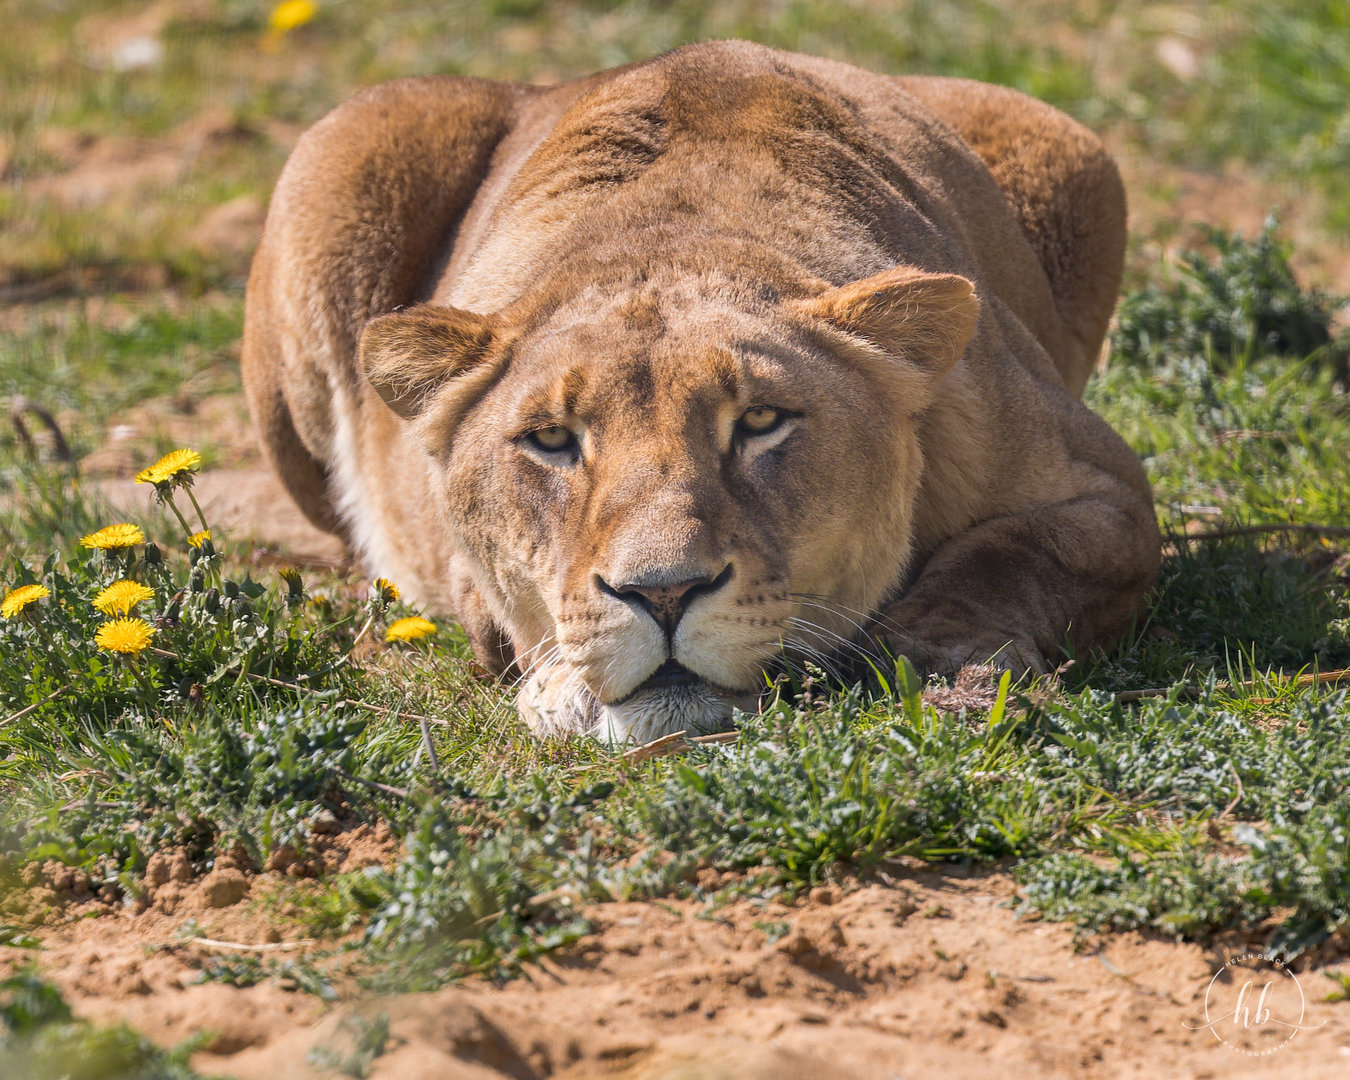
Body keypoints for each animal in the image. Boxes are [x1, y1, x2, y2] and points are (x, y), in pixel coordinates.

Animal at [242, 41, 1161, 742]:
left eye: (760, 421)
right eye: (551, 440)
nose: (663, 593)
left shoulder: (1110, 492)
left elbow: (1013, 554)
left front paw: (944, 658)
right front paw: (565, 687)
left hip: (1073, 154)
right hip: (341, 155)